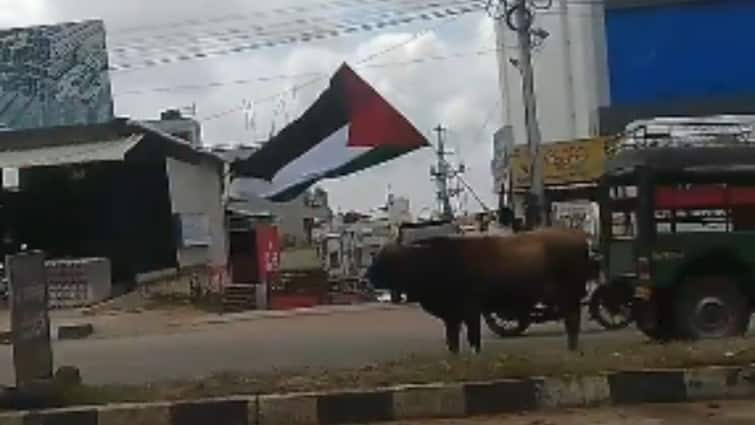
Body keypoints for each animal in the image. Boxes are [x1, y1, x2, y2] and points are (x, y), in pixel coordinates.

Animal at [366, 227, 592, 352]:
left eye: (384, 260)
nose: (366, 277)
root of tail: (579, 236)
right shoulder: (451, 316)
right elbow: (452, 342)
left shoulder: (470, 310)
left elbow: (473, 339)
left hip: (568, 295)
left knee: (572, 322)